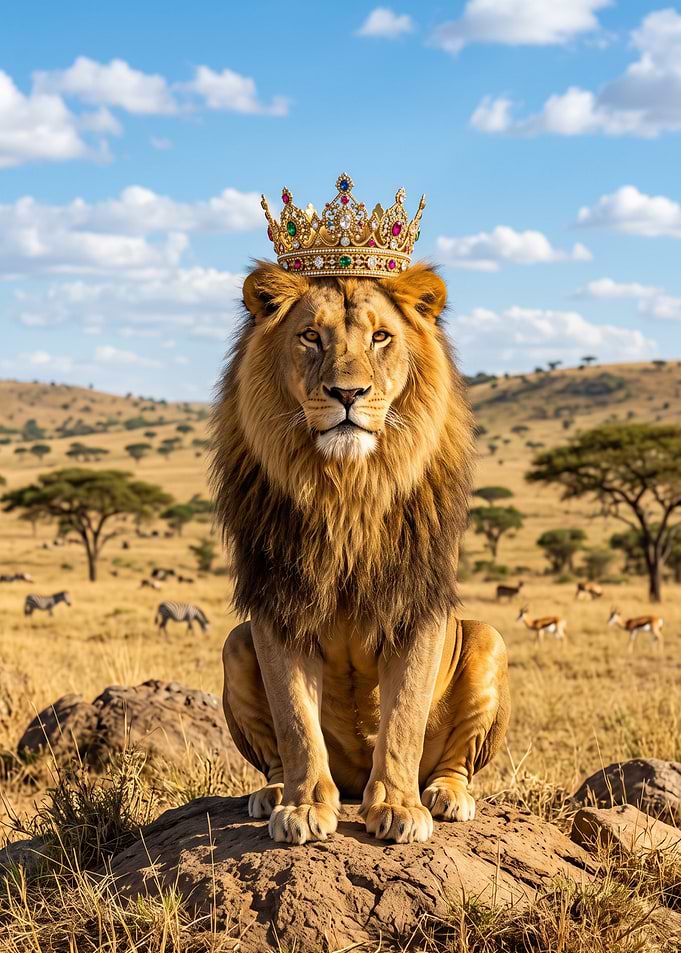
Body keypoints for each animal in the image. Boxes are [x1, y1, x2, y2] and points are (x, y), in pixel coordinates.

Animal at [211, 261, 510, 845]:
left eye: (380, 337)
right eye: (311, 336)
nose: (347, 393)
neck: (349, 491)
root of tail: (350, 783)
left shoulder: (416, 605)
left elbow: (403, 718)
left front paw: (397, 807)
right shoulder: (278, 607)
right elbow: (295, 722)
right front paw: (304, 807)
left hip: (489, 640)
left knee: (455, 762)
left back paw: (446, 797)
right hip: (236, 645)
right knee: (276, 754)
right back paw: (276, 793)